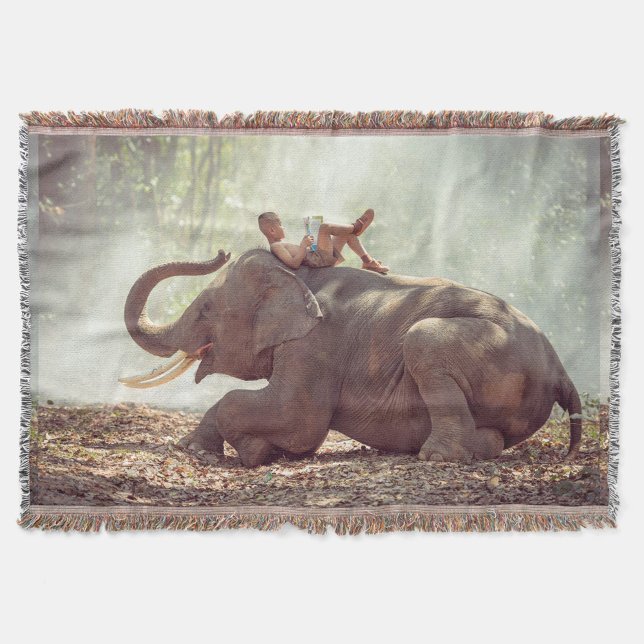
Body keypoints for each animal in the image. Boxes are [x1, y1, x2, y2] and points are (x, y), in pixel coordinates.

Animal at [121, 248, 582, 467]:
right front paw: (206, 449)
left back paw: (435, 457)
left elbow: (299, 421)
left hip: (484, 350)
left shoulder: (315, 345)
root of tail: (559, 367)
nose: (221, 253)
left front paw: (251, 453)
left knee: (423, 341)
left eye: (205, 310)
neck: (298, 274)